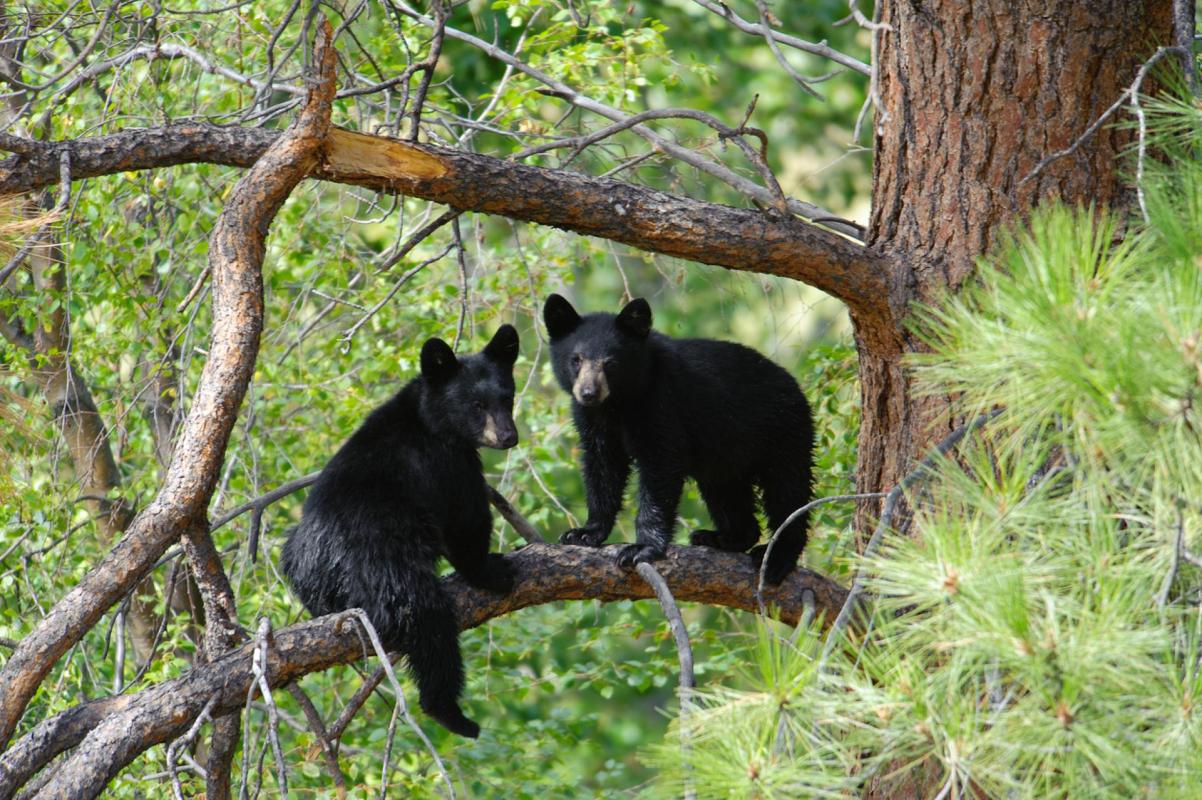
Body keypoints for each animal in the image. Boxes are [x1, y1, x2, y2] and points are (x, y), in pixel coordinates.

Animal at [279, 325, 521, 738]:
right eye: (476, 404)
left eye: (508, 397)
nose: (508, 436)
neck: (428, 417)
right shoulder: (447, 463)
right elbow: (466, 520)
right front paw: (493, 570)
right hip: (385, 560)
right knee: (426, 616)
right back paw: (449, 711)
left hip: (298, 558)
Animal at [543, 294, 814, 585]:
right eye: (576, 359)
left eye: (610, 363)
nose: (588, 393)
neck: (618, 403)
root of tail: (794, 384)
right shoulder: (593, 421)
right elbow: (602, 468)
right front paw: (584, 532)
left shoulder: (663, 402)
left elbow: (660, 466)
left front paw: (642, 547)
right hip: (725, 458)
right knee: (727, 491)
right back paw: (724, 537)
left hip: (783, 432)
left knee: (787, 492)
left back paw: (776, 557)